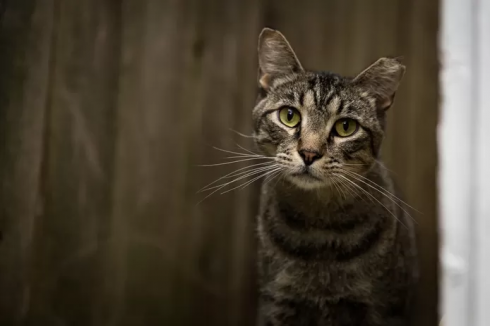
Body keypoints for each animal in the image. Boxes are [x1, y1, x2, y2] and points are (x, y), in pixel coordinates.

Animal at [255, 28, 420, 326]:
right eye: (289, 116)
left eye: (346, 127)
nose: (309, 153)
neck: (318, 227)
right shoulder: (276, 302)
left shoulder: (384, 306)